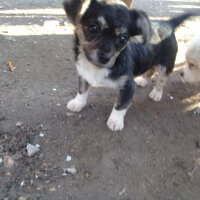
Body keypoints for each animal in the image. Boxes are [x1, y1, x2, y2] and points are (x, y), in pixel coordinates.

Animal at [63, 0, 192, 131]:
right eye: (93, 28)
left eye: (122, 39)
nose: (105, 58)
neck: (96, 67)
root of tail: (168, 23)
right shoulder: (84, 74)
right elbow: (82, 90)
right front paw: (77, 103)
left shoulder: (128, 85)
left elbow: (120, 105)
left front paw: (115, 121)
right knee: (150, 69)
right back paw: (143, 81)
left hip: (165, 64)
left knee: (162, 79)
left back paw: (157, 93)